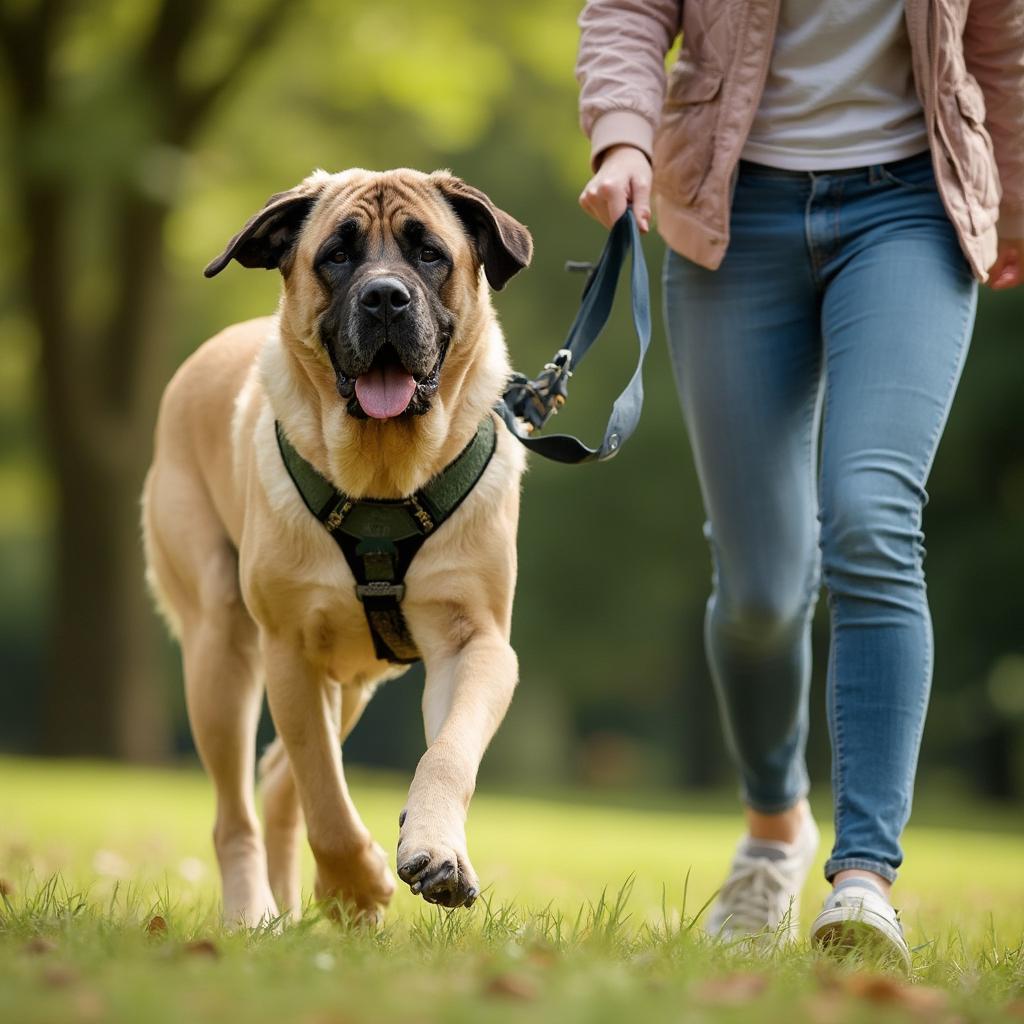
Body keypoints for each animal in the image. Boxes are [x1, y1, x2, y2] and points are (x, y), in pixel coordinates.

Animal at [144, 165, 536, 921]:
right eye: (336, 255)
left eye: (429, 253)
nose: (385, 297)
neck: (384, 476)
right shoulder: (291, 647)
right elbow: (323, 789)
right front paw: (358, 883)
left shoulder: (476, 641)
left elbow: (448, 752)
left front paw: (435, 852)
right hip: (221, 646)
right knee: (240, 807)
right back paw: (256, 914)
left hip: (352, 678)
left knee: (274, 780)